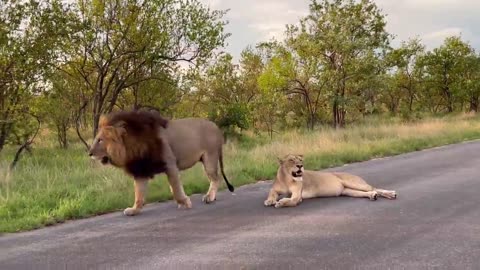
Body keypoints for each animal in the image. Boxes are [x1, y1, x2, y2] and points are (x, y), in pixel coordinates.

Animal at [89, 110, 234, 216]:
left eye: (100, 140)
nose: (89, 153)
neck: (131, 146)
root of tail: (216, 127)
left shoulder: (170, 164)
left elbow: (175, 188)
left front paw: (184, 202)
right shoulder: (141, 170)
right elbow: (139, 194)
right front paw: (134, 210)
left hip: (210, 157)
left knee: (216, 178)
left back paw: (209, 197)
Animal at [264, 154, 396, 209]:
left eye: (300, 160)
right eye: (291, 160)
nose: (300, 166)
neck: (287, 179)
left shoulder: (298, 196)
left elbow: (291, 200)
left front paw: (281, 202)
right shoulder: (275, 188)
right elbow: (271, 192)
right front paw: (270, 200)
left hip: (354, 183)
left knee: (374, 188)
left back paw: (391, 194)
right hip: (348, 191)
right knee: (369, 192)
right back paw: (373, 196)